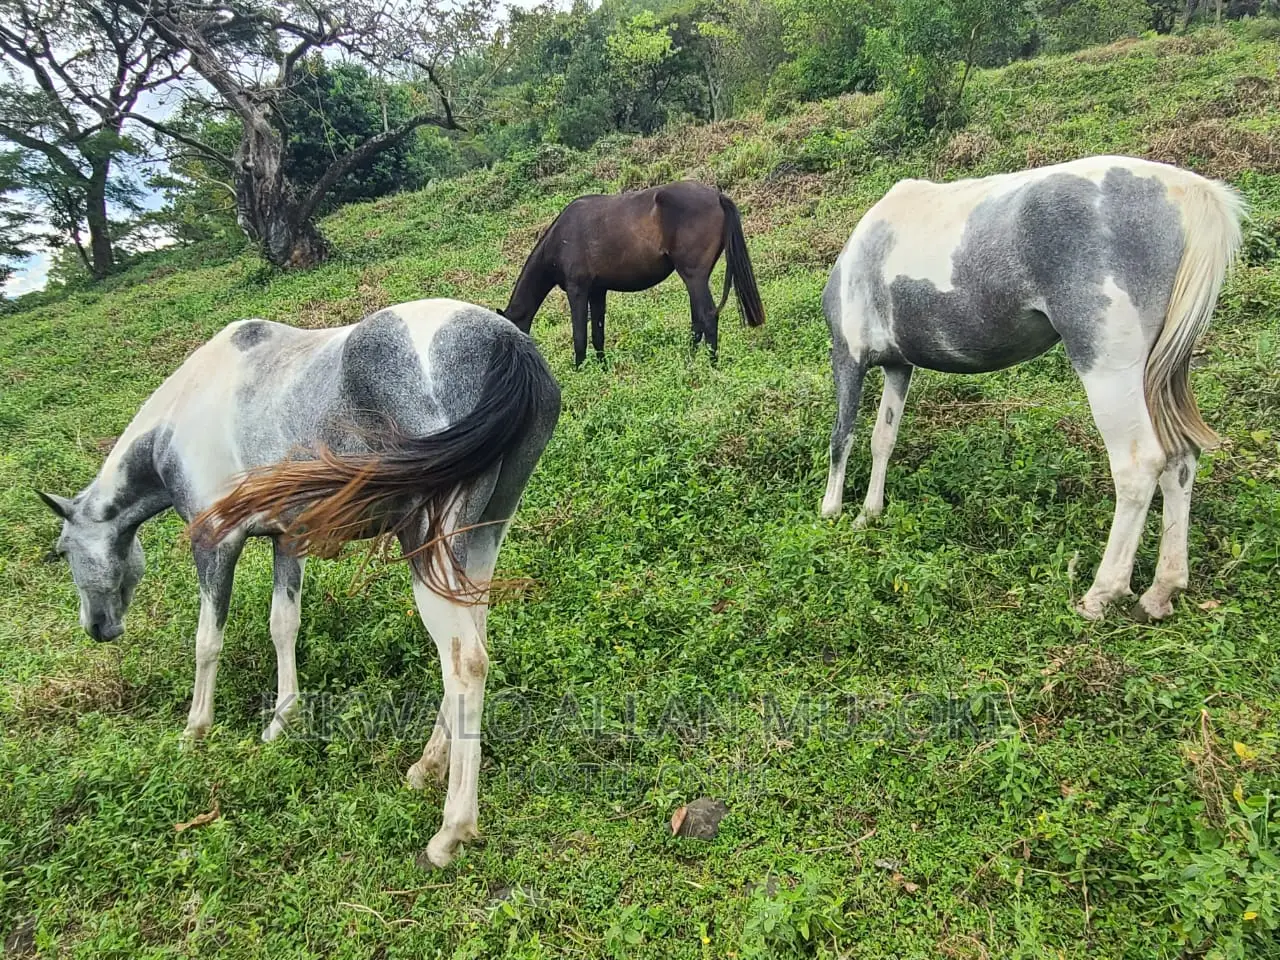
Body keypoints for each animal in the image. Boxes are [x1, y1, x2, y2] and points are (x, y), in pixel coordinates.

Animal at [37, 298, 561, 868]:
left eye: (62, 551)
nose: (98, 627)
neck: (177, 421)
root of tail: (504, 341)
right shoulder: (286, 540)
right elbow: (283, 624)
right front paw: (282, 721)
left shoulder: (215, 544)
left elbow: (207, 641)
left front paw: (195, 730)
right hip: (479, 541)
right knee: (472, 644)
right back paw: (427, 767)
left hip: (429, 548)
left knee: (464, 662)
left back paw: (451, 831)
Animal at [501, 180, 766, 366]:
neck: (561, 238)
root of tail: (717, 196)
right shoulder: (598, 291)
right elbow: (597, 334)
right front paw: (602, 371)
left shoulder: (578, 291)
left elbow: (579, 337)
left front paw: (580, 372)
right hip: (695, 279)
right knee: (697, 321)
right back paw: (689, 363)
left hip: (694, 276)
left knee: (708, 317)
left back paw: (710, 366)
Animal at [819, 155, 1245, 621]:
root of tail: (1184, 192)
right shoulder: (899, 367)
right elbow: (883, 439)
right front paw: (869, 514)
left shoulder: (849, 357)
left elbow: (842, 437)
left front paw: (831, 511)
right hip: (1161, 376)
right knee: (1181, 459)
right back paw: (1160, 591)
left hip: (1110, 371)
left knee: (1139, 465)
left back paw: (1101, 593)